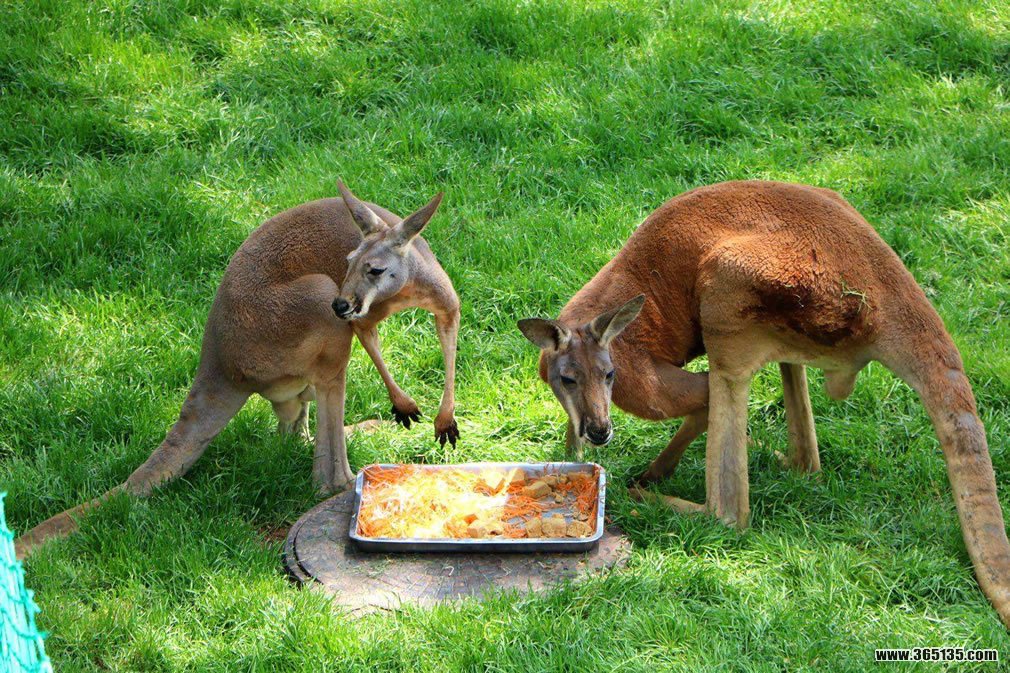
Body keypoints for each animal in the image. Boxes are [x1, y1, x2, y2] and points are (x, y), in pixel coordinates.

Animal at [16, 181, 461, 560]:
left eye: (375, 269)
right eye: (348, 262)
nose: (342, 303)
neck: (400, 293)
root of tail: (219, 362)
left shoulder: (441, 298)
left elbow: (449, 335)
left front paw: (441, 420)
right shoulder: (359, 317)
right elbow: (372, 339)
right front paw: (407, 408)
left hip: (301, 358)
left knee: (293, 434)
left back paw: (362, 434)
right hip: (310, 307)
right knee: (323, 467)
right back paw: (351, 476)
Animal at [518, 180, 1010, 627]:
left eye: (609, 375)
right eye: (567, 379)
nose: (600, 432)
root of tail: (895, 292)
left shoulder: (642, 379)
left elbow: (700, 400)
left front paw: (642, 471)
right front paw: (573, 456)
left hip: (733, 291)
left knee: (730, 509)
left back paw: (647, 496)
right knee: (806, 458)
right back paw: (767, 460)